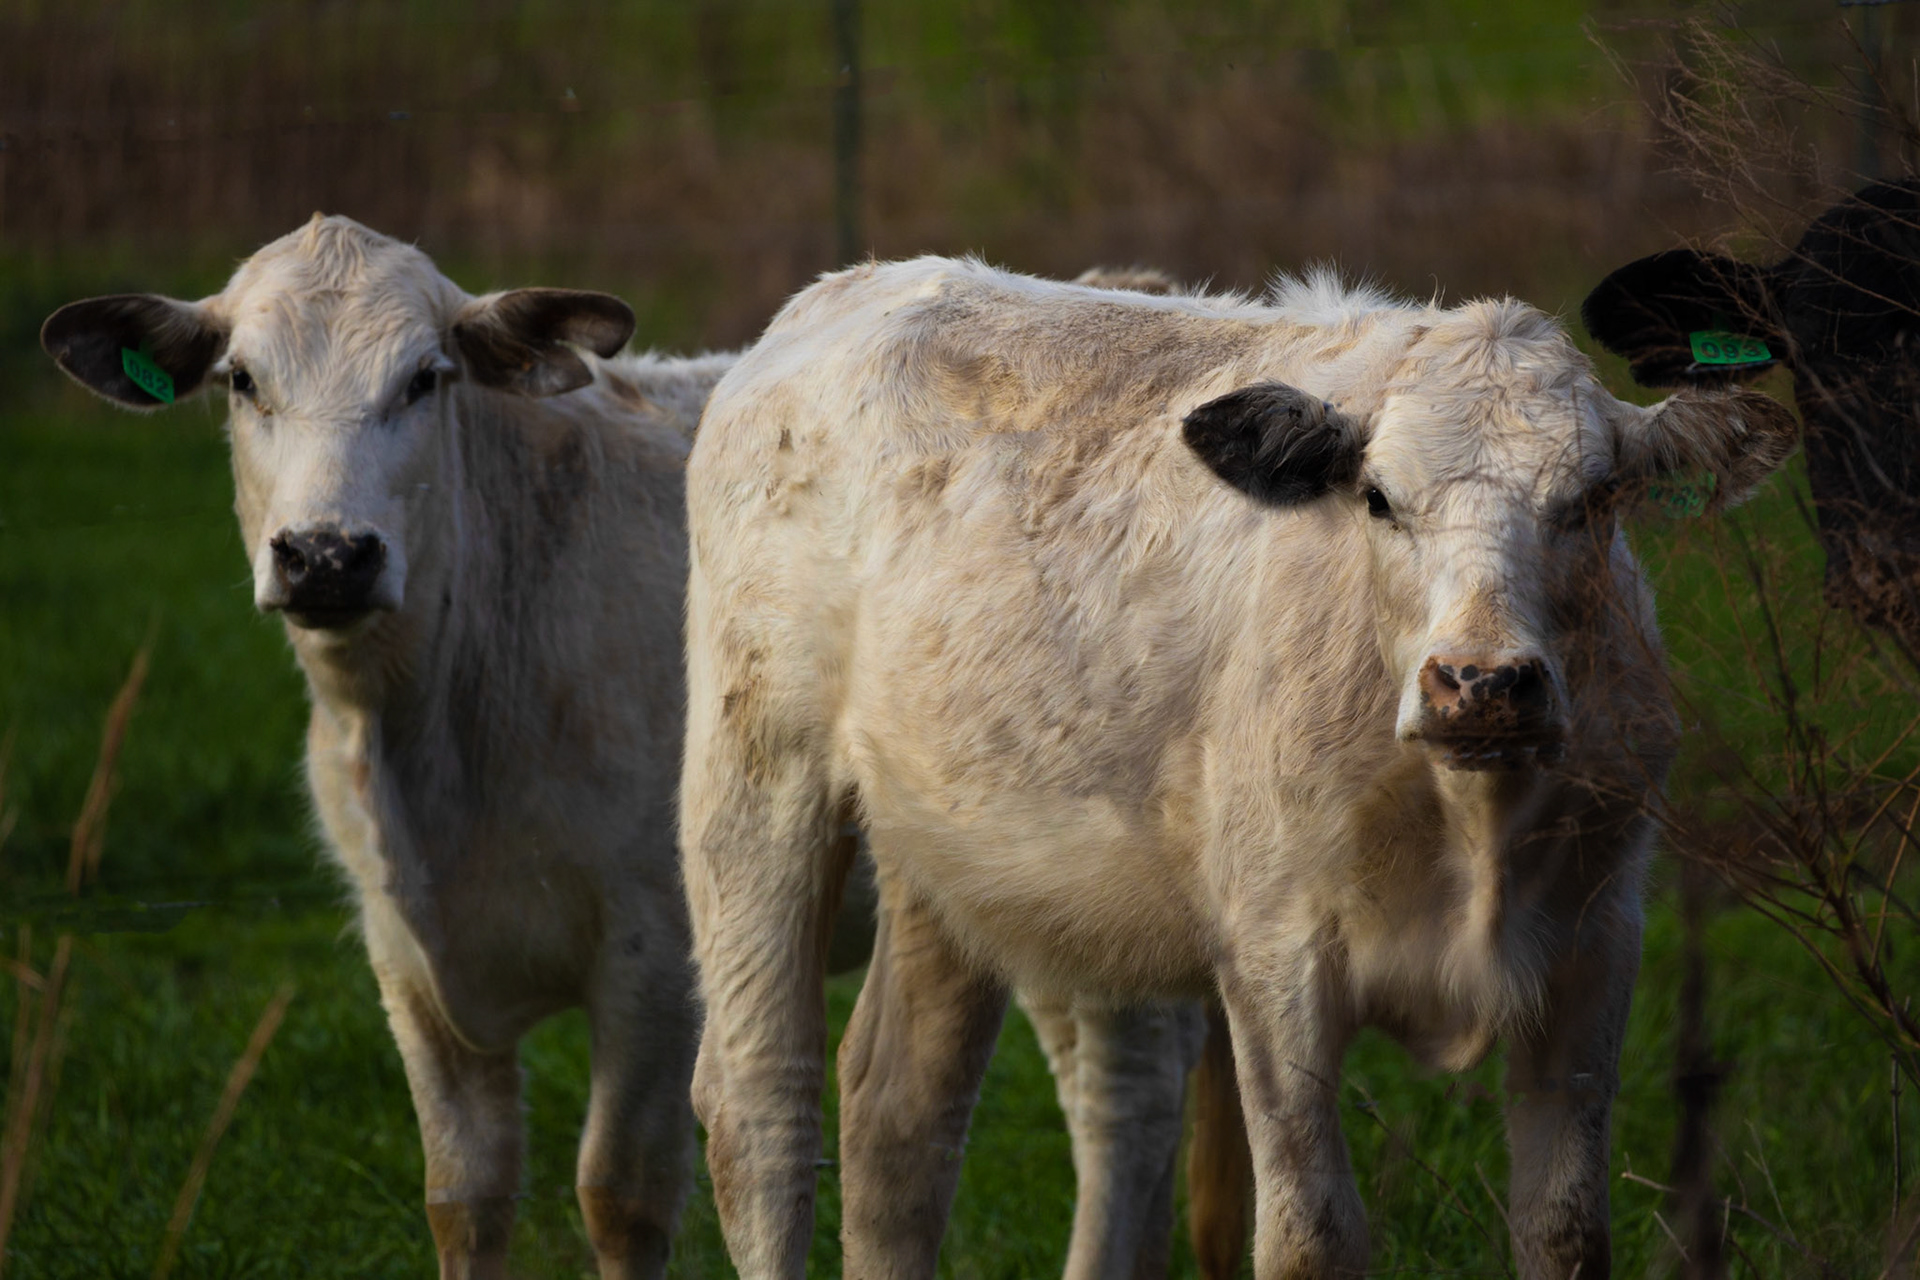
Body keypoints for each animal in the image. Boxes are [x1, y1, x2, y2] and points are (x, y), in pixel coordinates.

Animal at [42, 214, 728, 1280]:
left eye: (425, 378)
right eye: (241, 380)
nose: (327, 554)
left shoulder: (657, 951)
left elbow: (619, 1196)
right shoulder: (403, 959)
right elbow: (464, 1195)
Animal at [678, 256, 1799, 1279]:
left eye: (1594, 499)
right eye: (1379, 498)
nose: (1480, 682)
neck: (1469, 820)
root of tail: (854, 285)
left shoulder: (1594, 948)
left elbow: (1565, 1230)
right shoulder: (1276, 957)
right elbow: (1308, 1235)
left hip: (948, 853)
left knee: (898, 1122)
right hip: (756, 781)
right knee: (759, 1106)